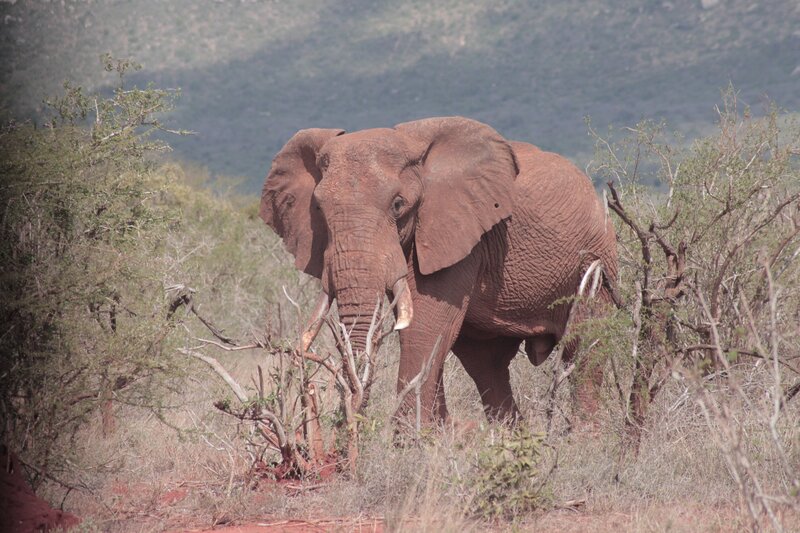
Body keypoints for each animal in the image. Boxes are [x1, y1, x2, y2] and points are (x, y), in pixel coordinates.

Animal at [260, 116, 618, 424]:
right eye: (318, 209)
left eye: (398, 205)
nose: (352, 414)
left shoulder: (459, 232)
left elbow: (423, 328)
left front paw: (406, 447)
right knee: (486, 364)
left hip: (596, 269)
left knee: (584, 351)